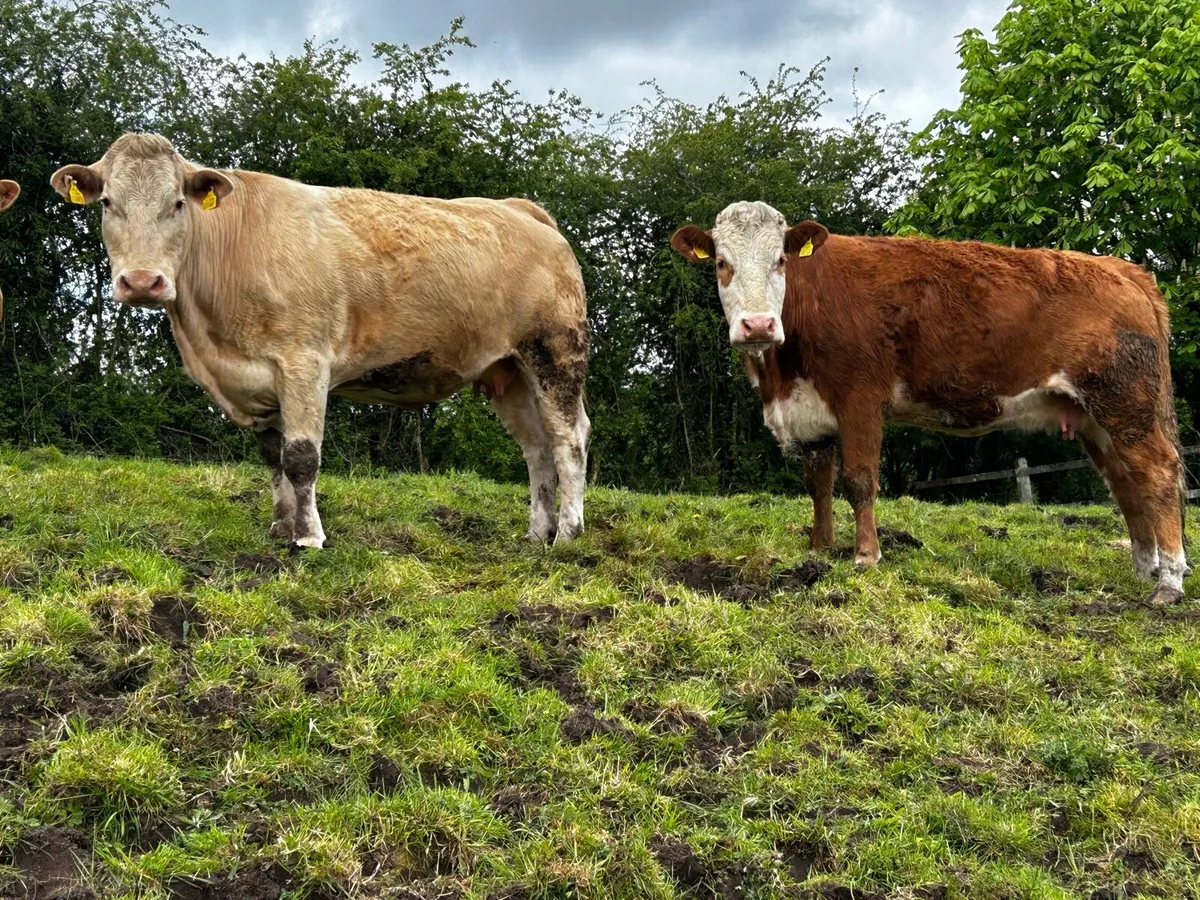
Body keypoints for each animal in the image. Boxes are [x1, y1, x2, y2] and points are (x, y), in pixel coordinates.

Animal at [51, 134, 590, 549]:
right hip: (508, 371)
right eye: (107, 203)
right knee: (536, 448)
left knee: (569, 438)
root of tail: (521, 210)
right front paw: (280, 527)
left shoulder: (304, 361)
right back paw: (535, 534)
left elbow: (301, 457)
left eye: (178, 204)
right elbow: (274, 458)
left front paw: (309, 537)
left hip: (555, 353)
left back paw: (567, 535)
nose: (142, 281)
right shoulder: (257, 382)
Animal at [672, 201, 1189, 607]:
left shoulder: (860, 398)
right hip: (1095, 416)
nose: (757, 325)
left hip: (1127, 404)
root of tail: (1123, 269)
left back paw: (1169, 581)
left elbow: (859, 482)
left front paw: (866, 556)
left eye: (780, 259)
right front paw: (819, 550)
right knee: (1124, 482)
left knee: (1159, 473)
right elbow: (818, 486)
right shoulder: (810, 415)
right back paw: (1143, 566)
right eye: (721, 262)